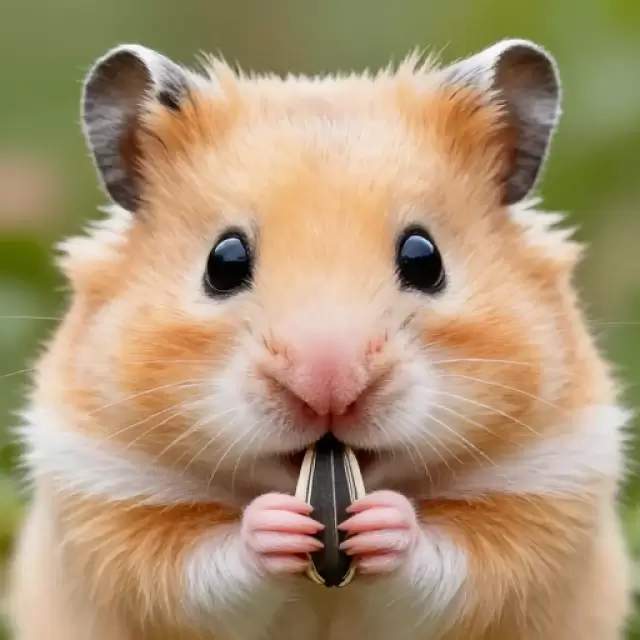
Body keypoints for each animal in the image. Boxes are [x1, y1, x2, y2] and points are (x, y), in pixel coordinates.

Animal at [8, 38, 631, 640]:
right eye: (223, 262)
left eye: (424, 257)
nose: (328, 387)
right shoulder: (105, 497)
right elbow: (194, 568)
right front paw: (274, 524)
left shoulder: (548, 492)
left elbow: (461, 564)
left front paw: (383, 522)